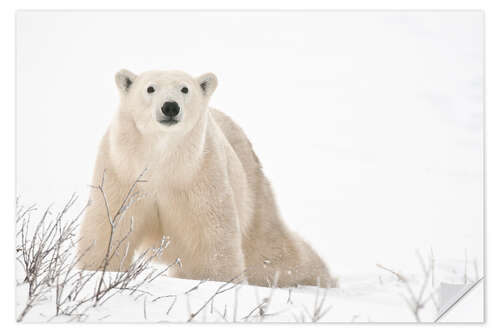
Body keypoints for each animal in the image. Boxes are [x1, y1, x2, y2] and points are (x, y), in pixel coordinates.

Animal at [78, 68, 336, 286]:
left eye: (185, 89)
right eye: (150, 88)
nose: (170, 107)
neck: (163, 161)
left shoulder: (199, 173)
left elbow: (210, 235)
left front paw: (218, 282)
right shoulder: (122, 172)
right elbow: (109, 223)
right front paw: (95, 270)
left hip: (252, 187)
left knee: (270, 250)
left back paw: (320, 278)